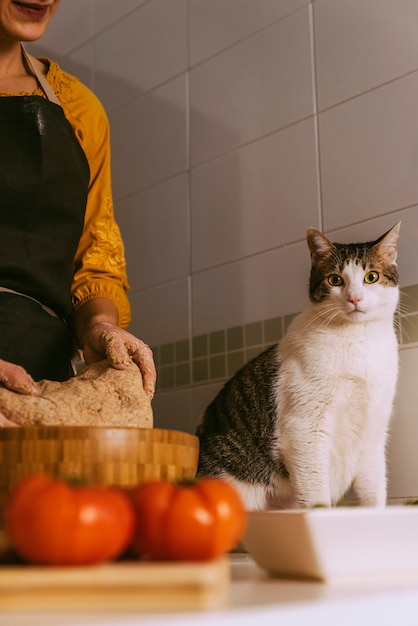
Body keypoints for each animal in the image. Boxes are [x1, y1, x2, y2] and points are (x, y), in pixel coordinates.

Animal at [196, 222, 402, 510]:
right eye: (335, 280)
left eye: (371, 277)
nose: (355, 299)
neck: (358, 342)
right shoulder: (304, 428)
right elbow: (316, 492)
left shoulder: (374, 430)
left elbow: (373, 489)